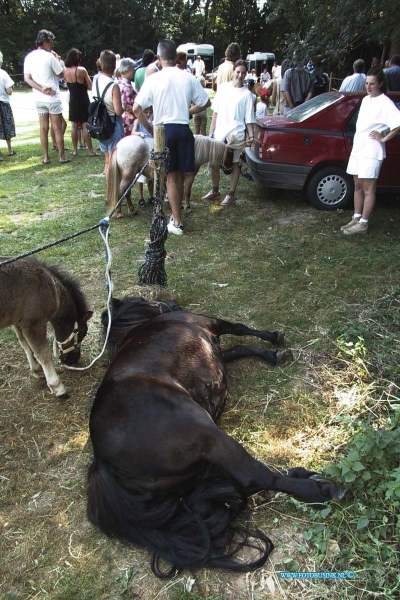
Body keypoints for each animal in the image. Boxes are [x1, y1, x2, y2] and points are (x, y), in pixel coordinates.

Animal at [0, 254, 92, 398]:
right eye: (82, 333)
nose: (74, 359)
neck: (52, 287)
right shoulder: (33, 324)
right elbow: (43, 353)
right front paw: (58, 387)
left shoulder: (18, 322)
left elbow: (26, 345)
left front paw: (37, 370)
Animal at [88, 300, 344, 576]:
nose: (171, 304)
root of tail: (104, 461)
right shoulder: (210, 323)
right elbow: (239, 328)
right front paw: (274, 340)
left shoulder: (217, 349)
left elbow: (238, 348)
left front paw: (274, 354)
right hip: (208, 436)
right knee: (254, 476)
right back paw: (323, 490)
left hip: (194, 470)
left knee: (242, 481)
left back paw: (306, 476)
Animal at [104, 134, 239, 216]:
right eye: (230, 154)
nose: (229, 170)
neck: (194, 150)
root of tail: (119, 145)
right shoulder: (189, 176)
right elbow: (187, 192)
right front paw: (187, 207)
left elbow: (180, 191)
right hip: (128, 176)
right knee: (121, 192)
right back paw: (119, 212)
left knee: (126, 193)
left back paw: (131, 210)